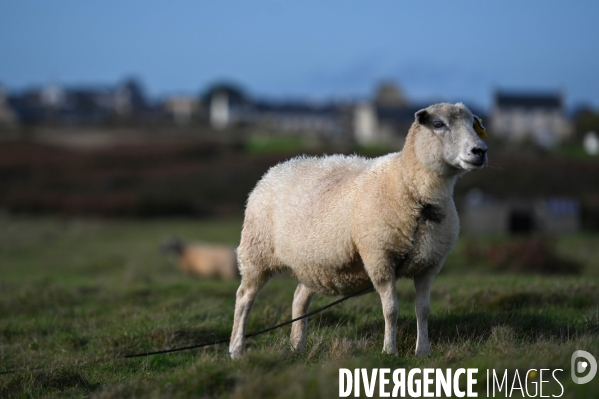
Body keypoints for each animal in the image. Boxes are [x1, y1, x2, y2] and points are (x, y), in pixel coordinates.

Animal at [229, 103, 488, 360]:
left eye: (472, 124)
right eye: (438, 124)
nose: (480, 150)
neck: (413, 192)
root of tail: (274, 170)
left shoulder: (429, 265)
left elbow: (423, 310)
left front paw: (423, 352)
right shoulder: (379, 257)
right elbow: (391, 310)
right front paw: (389, 350)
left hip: (312, 264)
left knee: (299, 298)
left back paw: (296, 345)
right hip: (256, 252)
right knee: (244, 298)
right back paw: (236, 349)